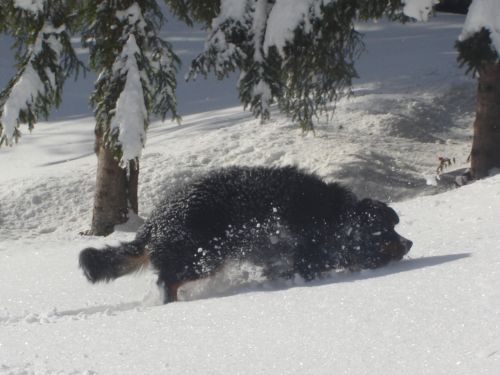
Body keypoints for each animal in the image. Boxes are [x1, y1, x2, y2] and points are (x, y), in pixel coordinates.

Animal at [80, 167, 412, 302]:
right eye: (385, 232)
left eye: (393, 228)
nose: (409, 243)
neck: (334, 219)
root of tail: (154, 223)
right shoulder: (303, 255)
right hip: (202, 258)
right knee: (168, 281)